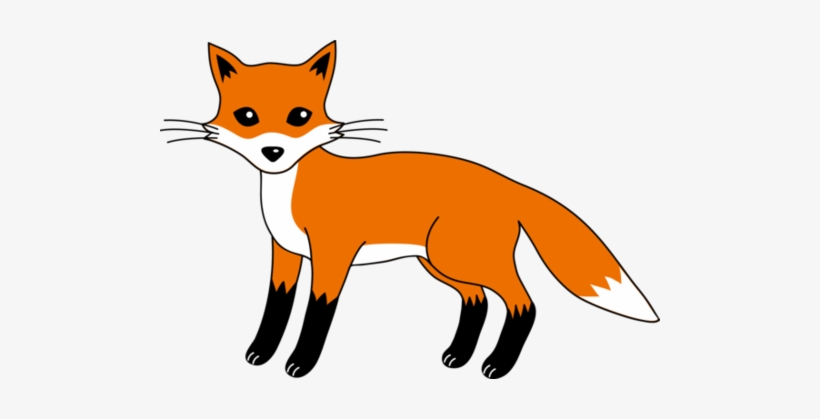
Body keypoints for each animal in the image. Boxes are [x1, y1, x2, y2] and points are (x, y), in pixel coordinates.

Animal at [163, 41, 659, 379]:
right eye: (246, 116)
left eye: (299, 116)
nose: (272, 152)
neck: (290, 189)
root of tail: (508, 182)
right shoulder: (284, 253)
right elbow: (276, 305)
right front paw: (261, 353)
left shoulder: (332, 254)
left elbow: (316, 312)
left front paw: (301, 363)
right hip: (439, 263)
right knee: (477, 302)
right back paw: (458, 356)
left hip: (463, 259)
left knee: (524, 305)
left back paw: (497, 365)